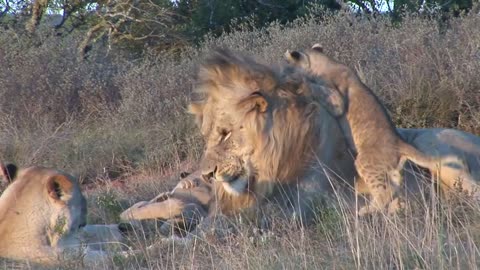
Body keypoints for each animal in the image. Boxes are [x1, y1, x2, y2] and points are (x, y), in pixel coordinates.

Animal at [286, 43, 478, 214]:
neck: (326, 62)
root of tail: (400, 143)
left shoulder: (336, 99)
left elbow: (318, 88)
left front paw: (300, 82)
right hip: (391, 171)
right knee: (393, 187)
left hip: (365, 162)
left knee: (385, 191)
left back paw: (366, 211)